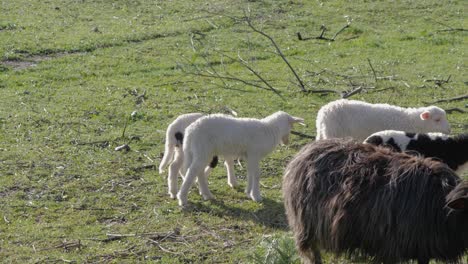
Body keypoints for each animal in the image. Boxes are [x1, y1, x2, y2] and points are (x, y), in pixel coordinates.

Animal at [177, 111, 306, 206]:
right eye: (291, 126)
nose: (287, 142)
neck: (270, 130)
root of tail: (189, 131)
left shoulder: (249, 155)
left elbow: (250, 173)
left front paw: (248, 192)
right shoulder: (254, 154)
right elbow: (256, 174)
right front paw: (256, 196)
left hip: (202, 152)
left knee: (198, 172)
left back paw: (207, 195)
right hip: (202, 150)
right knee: (192, 172)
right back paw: (182, 199)